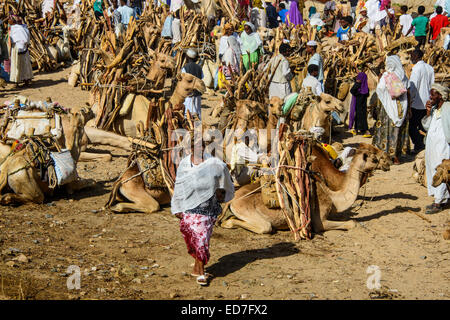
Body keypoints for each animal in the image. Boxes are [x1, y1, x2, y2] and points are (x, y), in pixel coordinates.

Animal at [221, 143, 386, 235]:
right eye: (374, 159)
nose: (388, 161)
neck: (334, 198)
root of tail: (232, 201)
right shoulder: (319, 221)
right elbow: (351, 223)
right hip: (248, 212)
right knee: (265, 227)